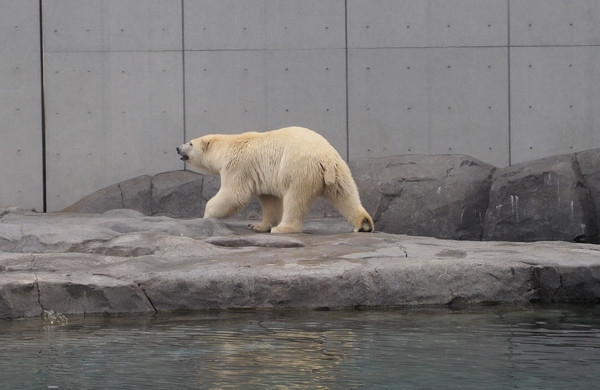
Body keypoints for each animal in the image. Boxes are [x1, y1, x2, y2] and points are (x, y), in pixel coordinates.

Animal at [178, 126, 372, 233]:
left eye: (190, 143)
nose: (177, 148)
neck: (227, 145)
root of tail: (325, 159)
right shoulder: (262, 176)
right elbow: (270, 200)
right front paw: (257, 226)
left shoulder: (237, 165)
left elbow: (233, 194)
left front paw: (206, 216)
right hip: (339, 170)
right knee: (346, 195)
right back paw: (364, 224)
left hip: (298, 169)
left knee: (295, 199)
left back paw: (283, 228)